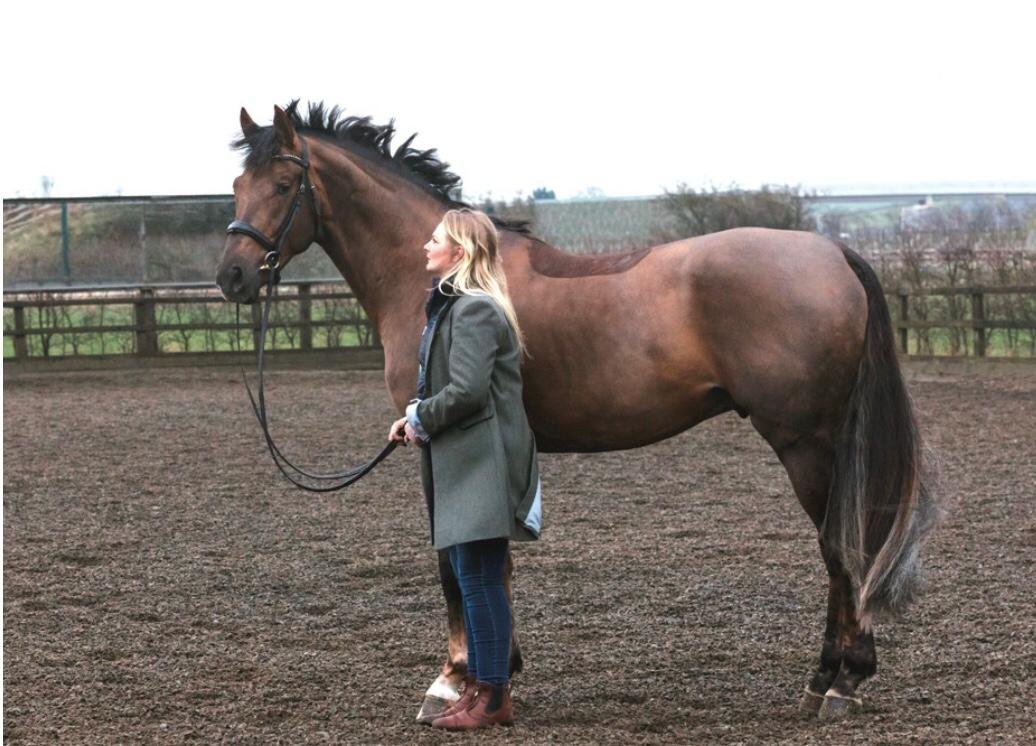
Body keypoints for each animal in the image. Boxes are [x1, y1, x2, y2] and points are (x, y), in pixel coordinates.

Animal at [216, 101, 939, 722]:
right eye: (237, 183)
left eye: (285, 182)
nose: (233, 277)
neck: (445, 279)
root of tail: (832, 251)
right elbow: (493, 561)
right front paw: (495, 672)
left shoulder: (433, 437)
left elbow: (453, 564)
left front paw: (451, 680)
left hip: (805, 443)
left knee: (841, 546)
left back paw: (836, 682)